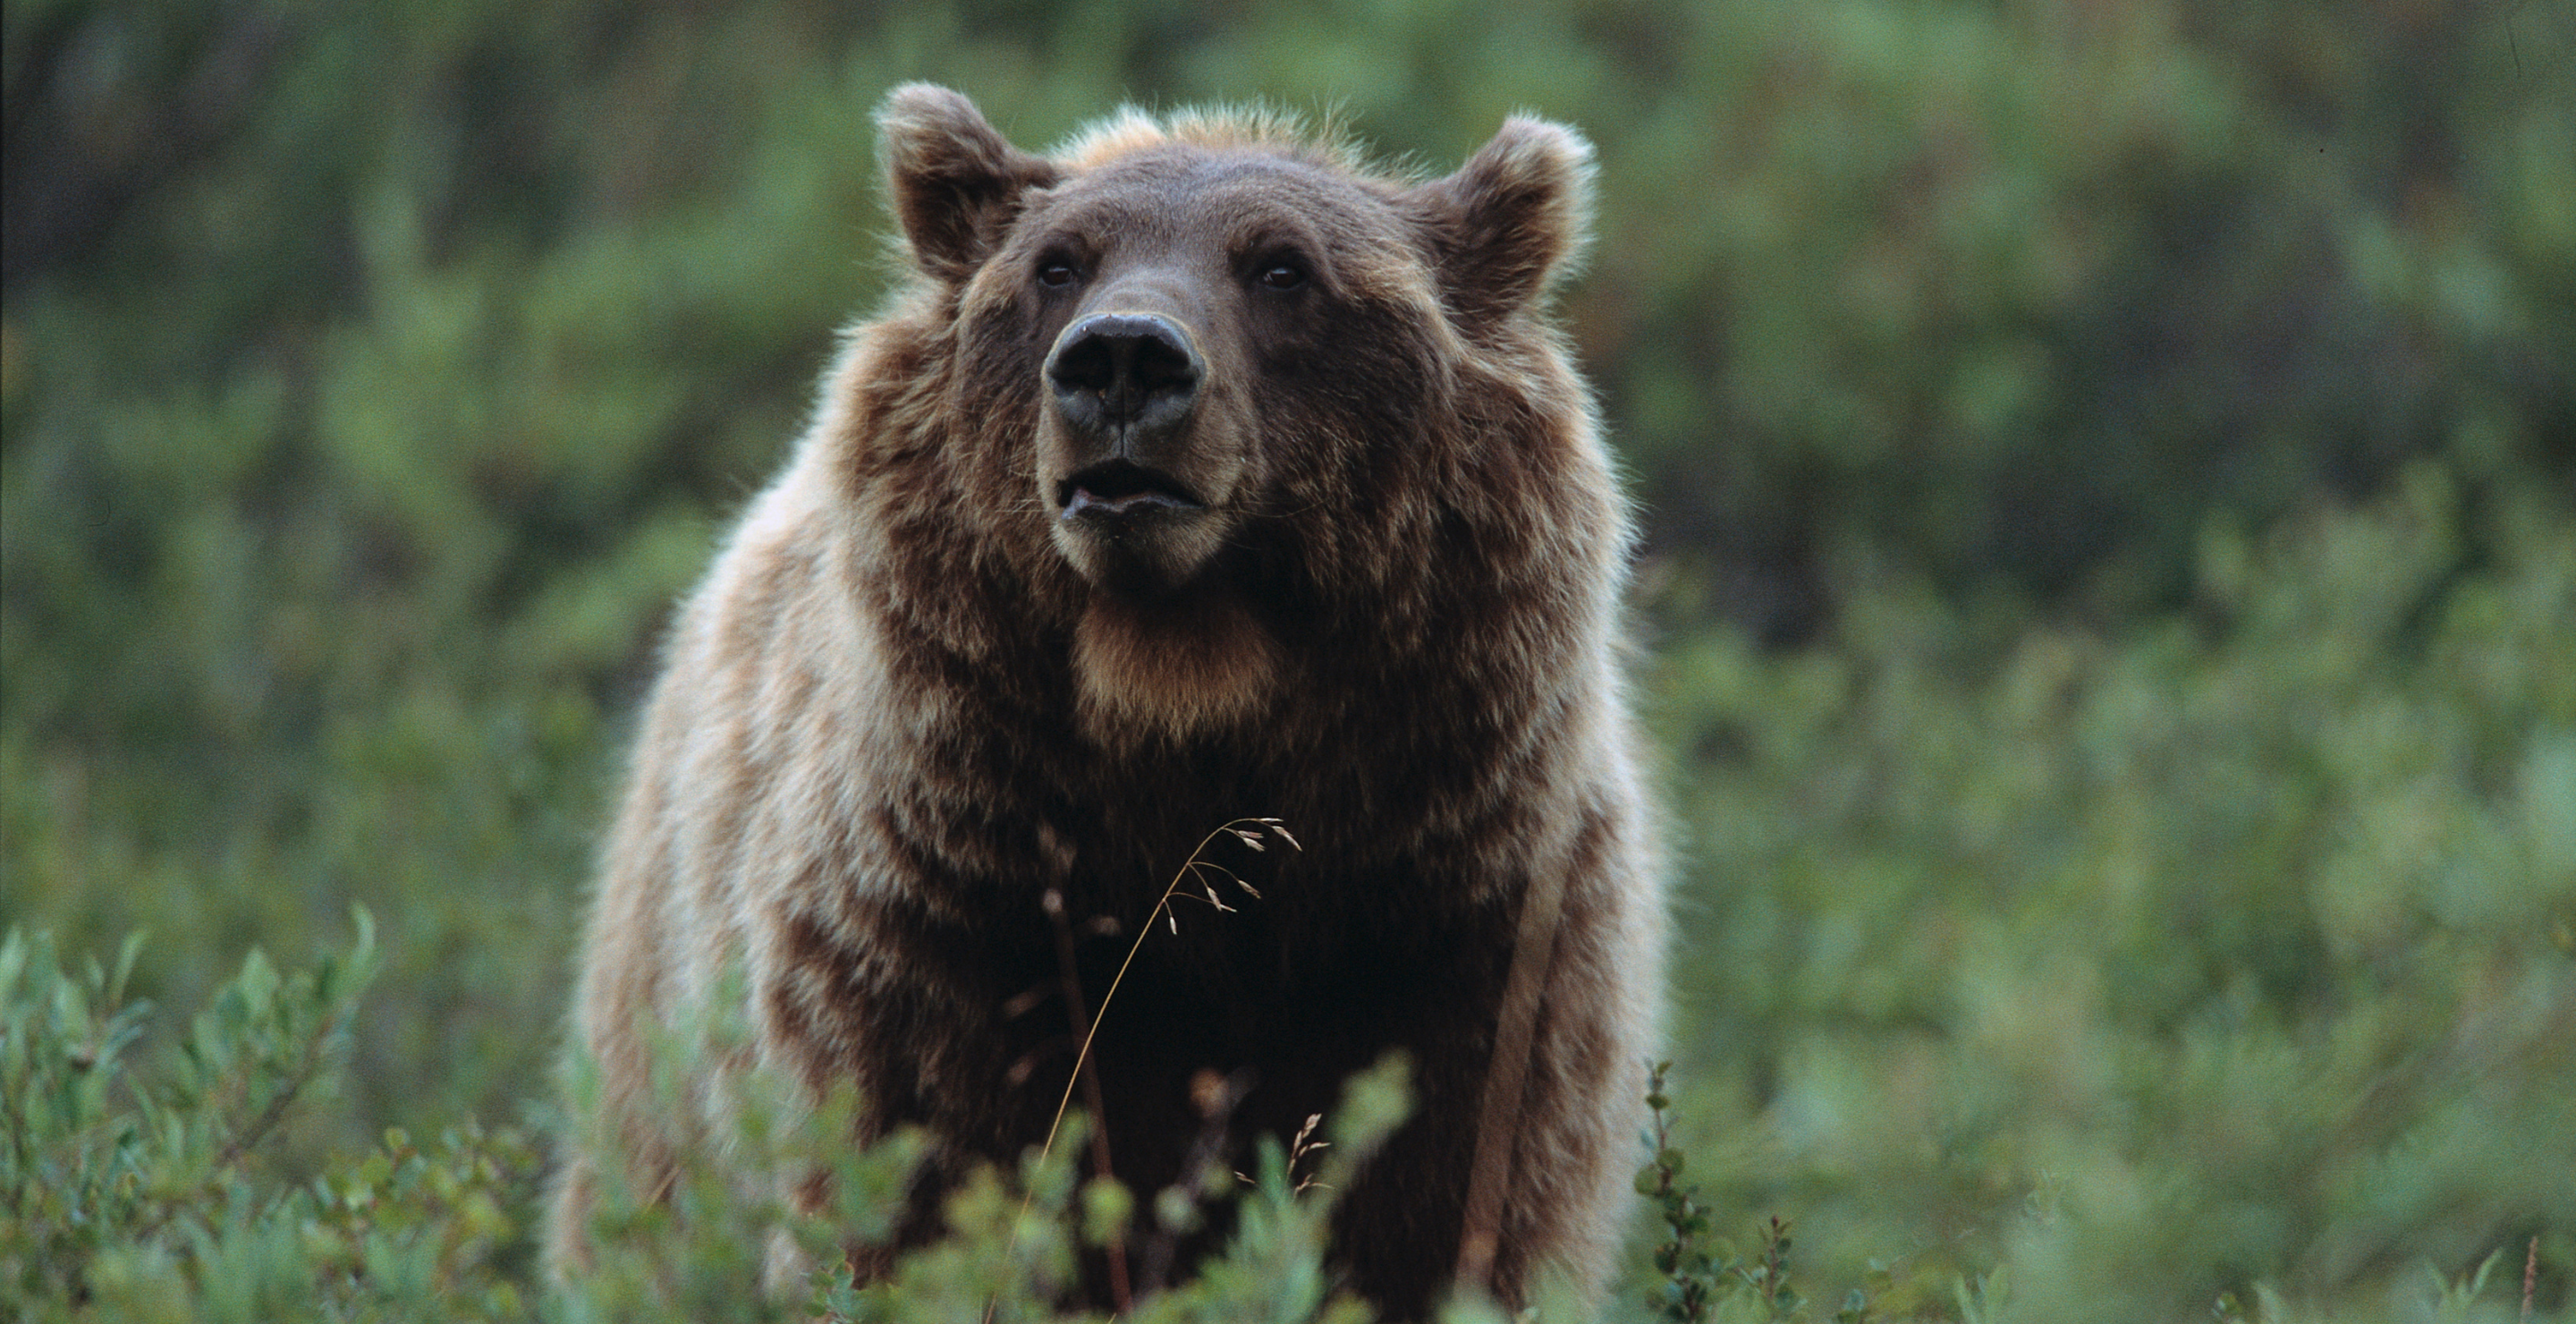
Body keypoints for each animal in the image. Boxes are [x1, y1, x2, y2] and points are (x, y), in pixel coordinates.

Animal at [548, 83, 1663, 1319]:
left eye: (1283, 266)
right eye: (1056, 265)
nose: (1123, 358)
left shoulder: (1454, 932)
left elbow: (1434, 1215)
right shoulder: (941, 936)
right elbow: (920, 1199)